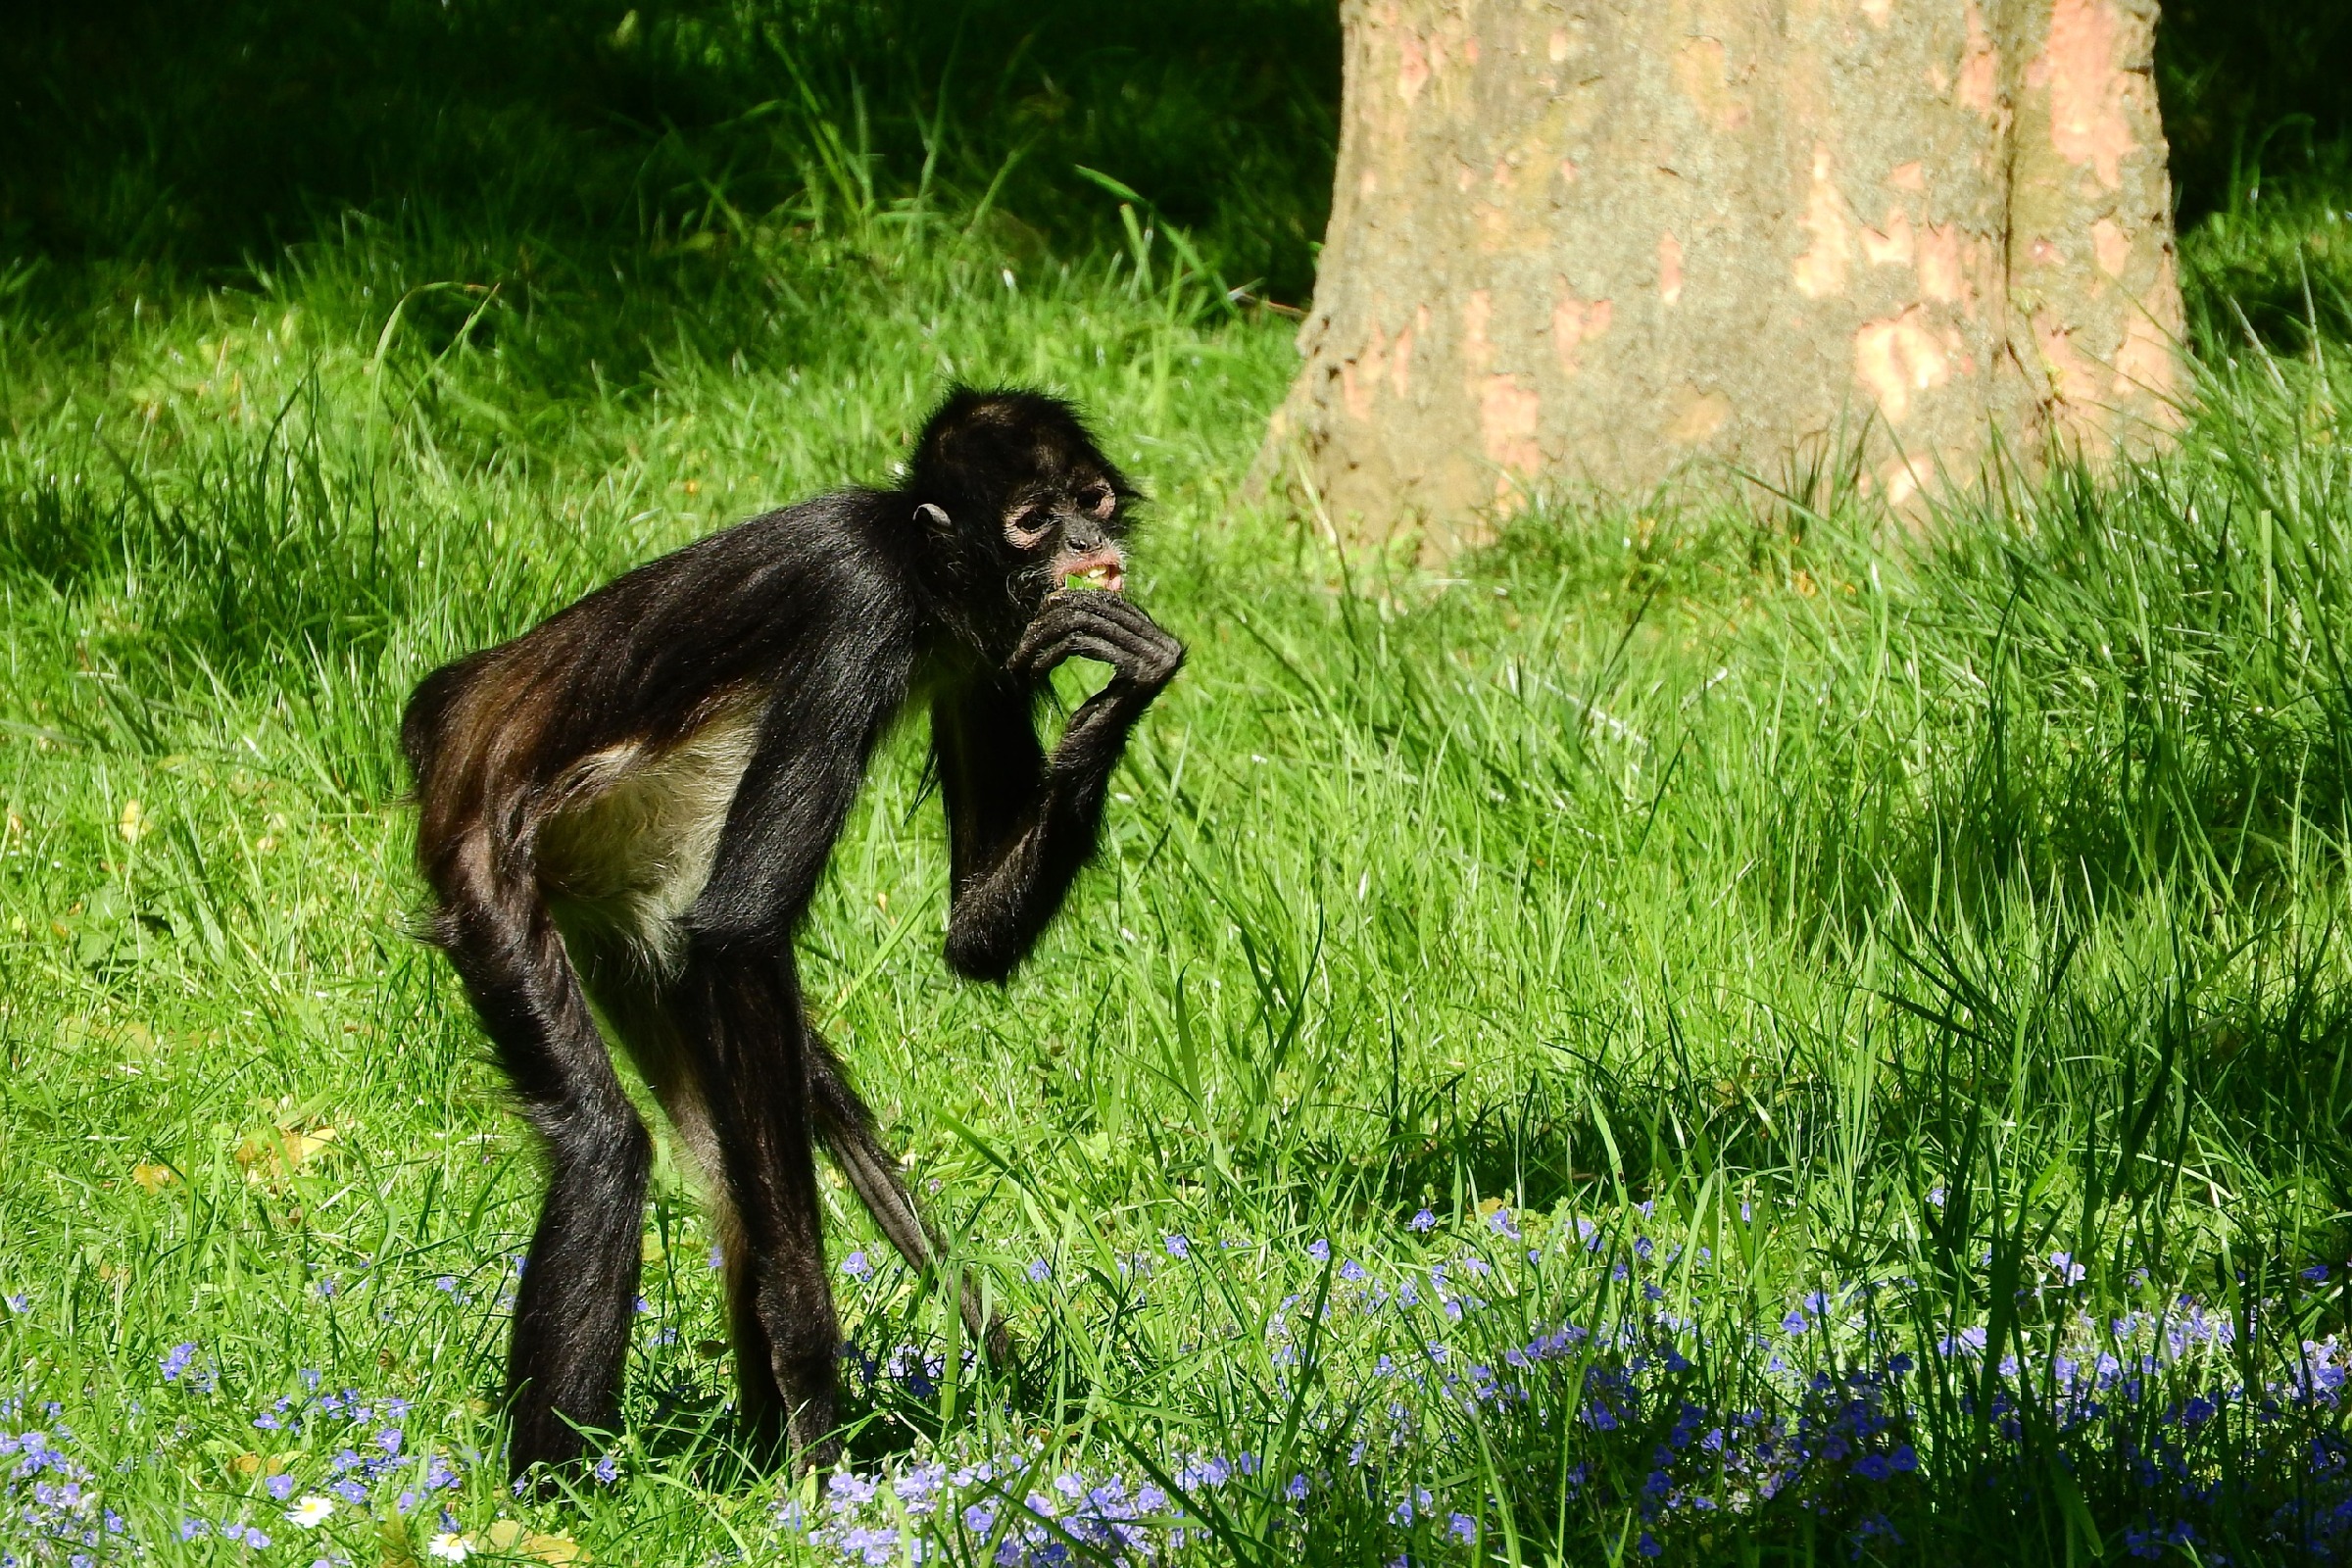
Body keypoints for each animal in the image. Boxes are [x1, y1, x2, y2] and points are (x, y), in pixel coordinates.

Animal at [400, 385, 1195, 1476]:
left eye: (1093, 498)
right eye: (1034, 521)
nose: (1087, 541)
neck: (922, 574)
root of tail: (459, 706)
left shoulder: (986, 652)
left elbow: (970, 947)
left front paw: (1129, 678)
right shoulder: (863, 600)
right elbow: (742, 932)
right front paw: (815, 1368)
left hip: (637, 932)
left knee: (750, 1163)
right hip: (483, 860)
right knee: (606, 1147)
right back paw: (562, 1493)